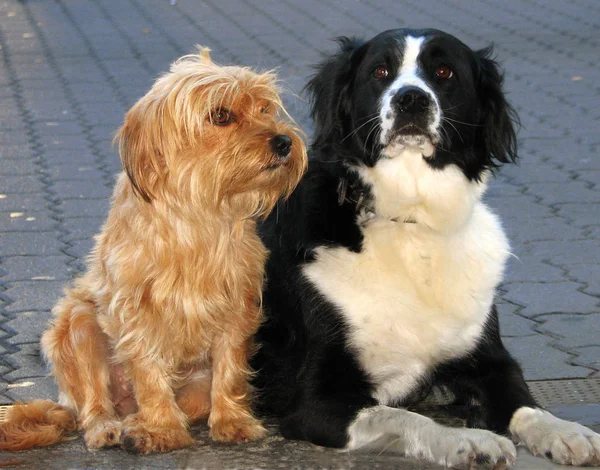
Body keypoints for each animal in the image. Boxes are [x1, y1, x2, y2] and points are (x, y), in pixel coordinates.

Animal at [0, 46, 308, 452]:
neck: (198, 215)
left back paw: (136, 421)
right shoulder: (137, 313)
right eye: (221, 115)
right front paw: (162, 429)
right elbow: (148, 375)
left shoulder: (237, 307)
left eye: (265, 109)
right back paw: (110, 426)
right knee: (92, 403)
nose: (284, 142)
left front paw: (232, 421)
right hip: (78, 323)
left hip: (193, 384)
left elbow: (230, 370)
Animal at [253, 28, 600, 466]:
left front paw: (566, 431)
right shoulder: (318, 400)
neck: (412, 219)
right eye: (380, 71)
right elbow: (406, 418)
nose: (411, 99)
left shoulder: (491, 362)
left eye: (444, 71)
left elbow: (525, 403)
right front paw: (469, 441)